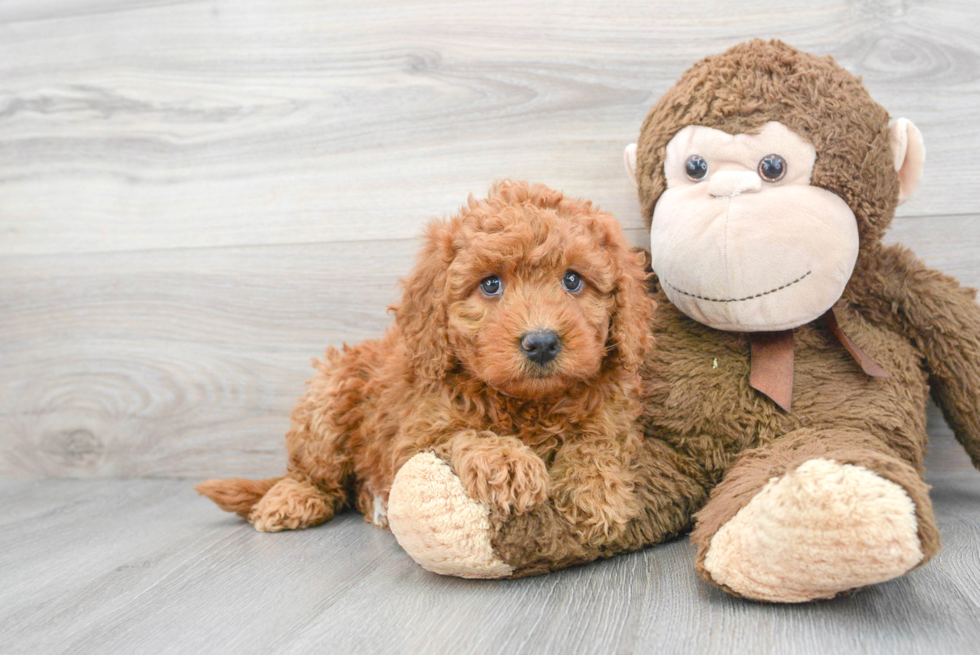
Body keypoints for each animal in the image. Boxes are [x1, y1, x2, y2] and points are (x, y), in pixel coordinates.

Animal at [195, 181, 656, 544]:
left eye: (573, 280)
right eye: (491, 284)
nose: (541, 342)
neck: (528, 403)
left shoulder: (613, 417)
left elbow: (596, 441)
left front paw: (596, 493)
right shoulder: (415, 435)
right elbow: (463, 434)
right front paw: (508, 463)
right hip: (328, 400)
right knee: (314, 472)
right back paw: (294, 498)